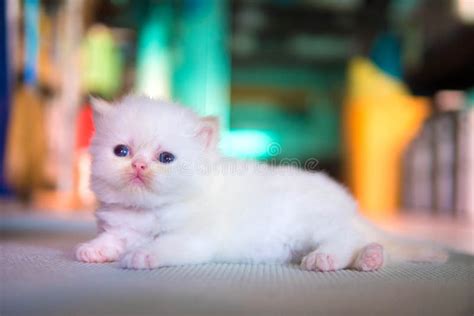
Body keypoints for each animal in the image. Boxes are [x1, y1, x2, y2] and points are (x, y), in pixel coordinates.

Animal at [76, 95, 446, 270]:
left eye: (165, 158)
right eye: (121, 151)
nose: (138, 165)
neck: (147, 211)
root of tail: (349, 206)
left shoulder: (192, 239)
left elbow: (160, 246)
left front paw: (141, 255)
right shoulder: (120, 227)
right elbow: (112, 239)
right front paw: (92, 250)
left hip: (316, 225)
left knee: (344, 240)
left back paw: (326, 259)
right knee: (367, 244)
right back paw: (370, 259)